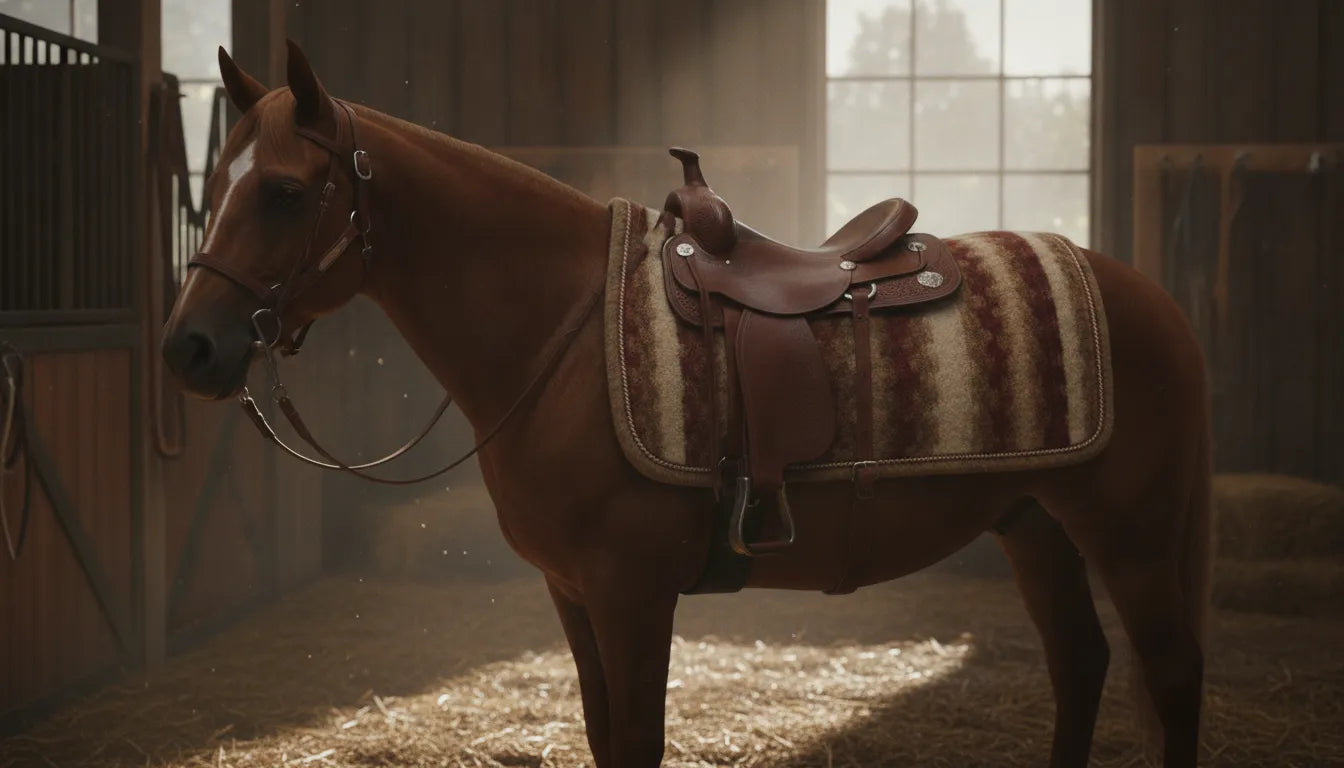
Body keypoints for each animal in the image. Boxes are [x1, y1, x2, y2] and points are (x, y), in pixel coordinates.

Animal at [161, 41, 1212, 768]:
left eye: (286, 193)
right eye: (215, 185)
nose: (188, 347)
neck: (563, 333)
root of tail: (1153, 298)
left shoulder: (631, 591)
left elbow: (638, 742)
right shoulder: (573, 593)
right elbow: (602, 736)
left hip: (1131, 533)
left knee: (1170, 682)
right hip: (1035, 522)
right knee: (1081, 666)